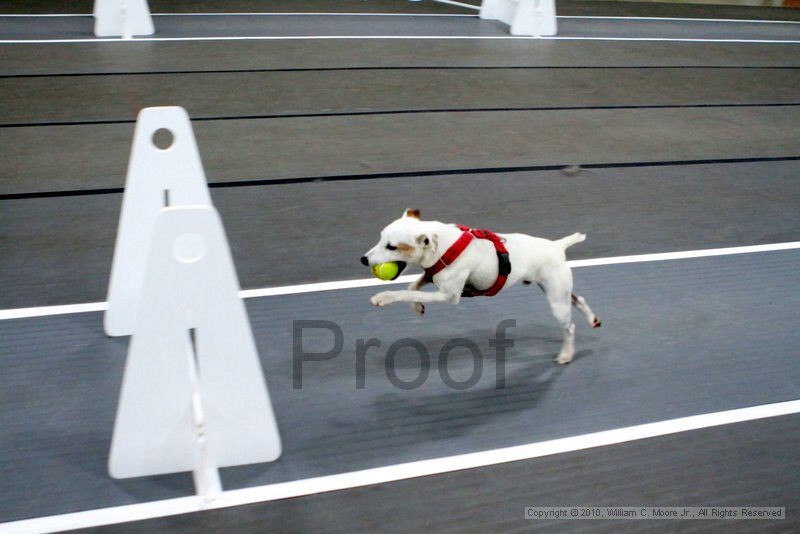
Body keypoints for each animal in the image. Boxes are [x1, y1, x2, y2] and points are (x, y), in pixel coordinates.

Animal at [362, 209, 600, 364]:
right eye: (380, 238)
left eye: (392, 247)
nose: (364, 260)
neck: (442, 246)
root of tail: (557, 245)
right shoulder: (431, 276)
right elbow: (412, 286)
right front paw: (417, 307)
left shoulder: (449, 295)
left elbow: (403, 291)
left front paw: (384, 297)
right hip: (558, 292)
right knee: (580, 300)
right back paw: (592, 319)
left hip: (556, 301)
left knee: (569, 327)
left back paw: (566, 354)